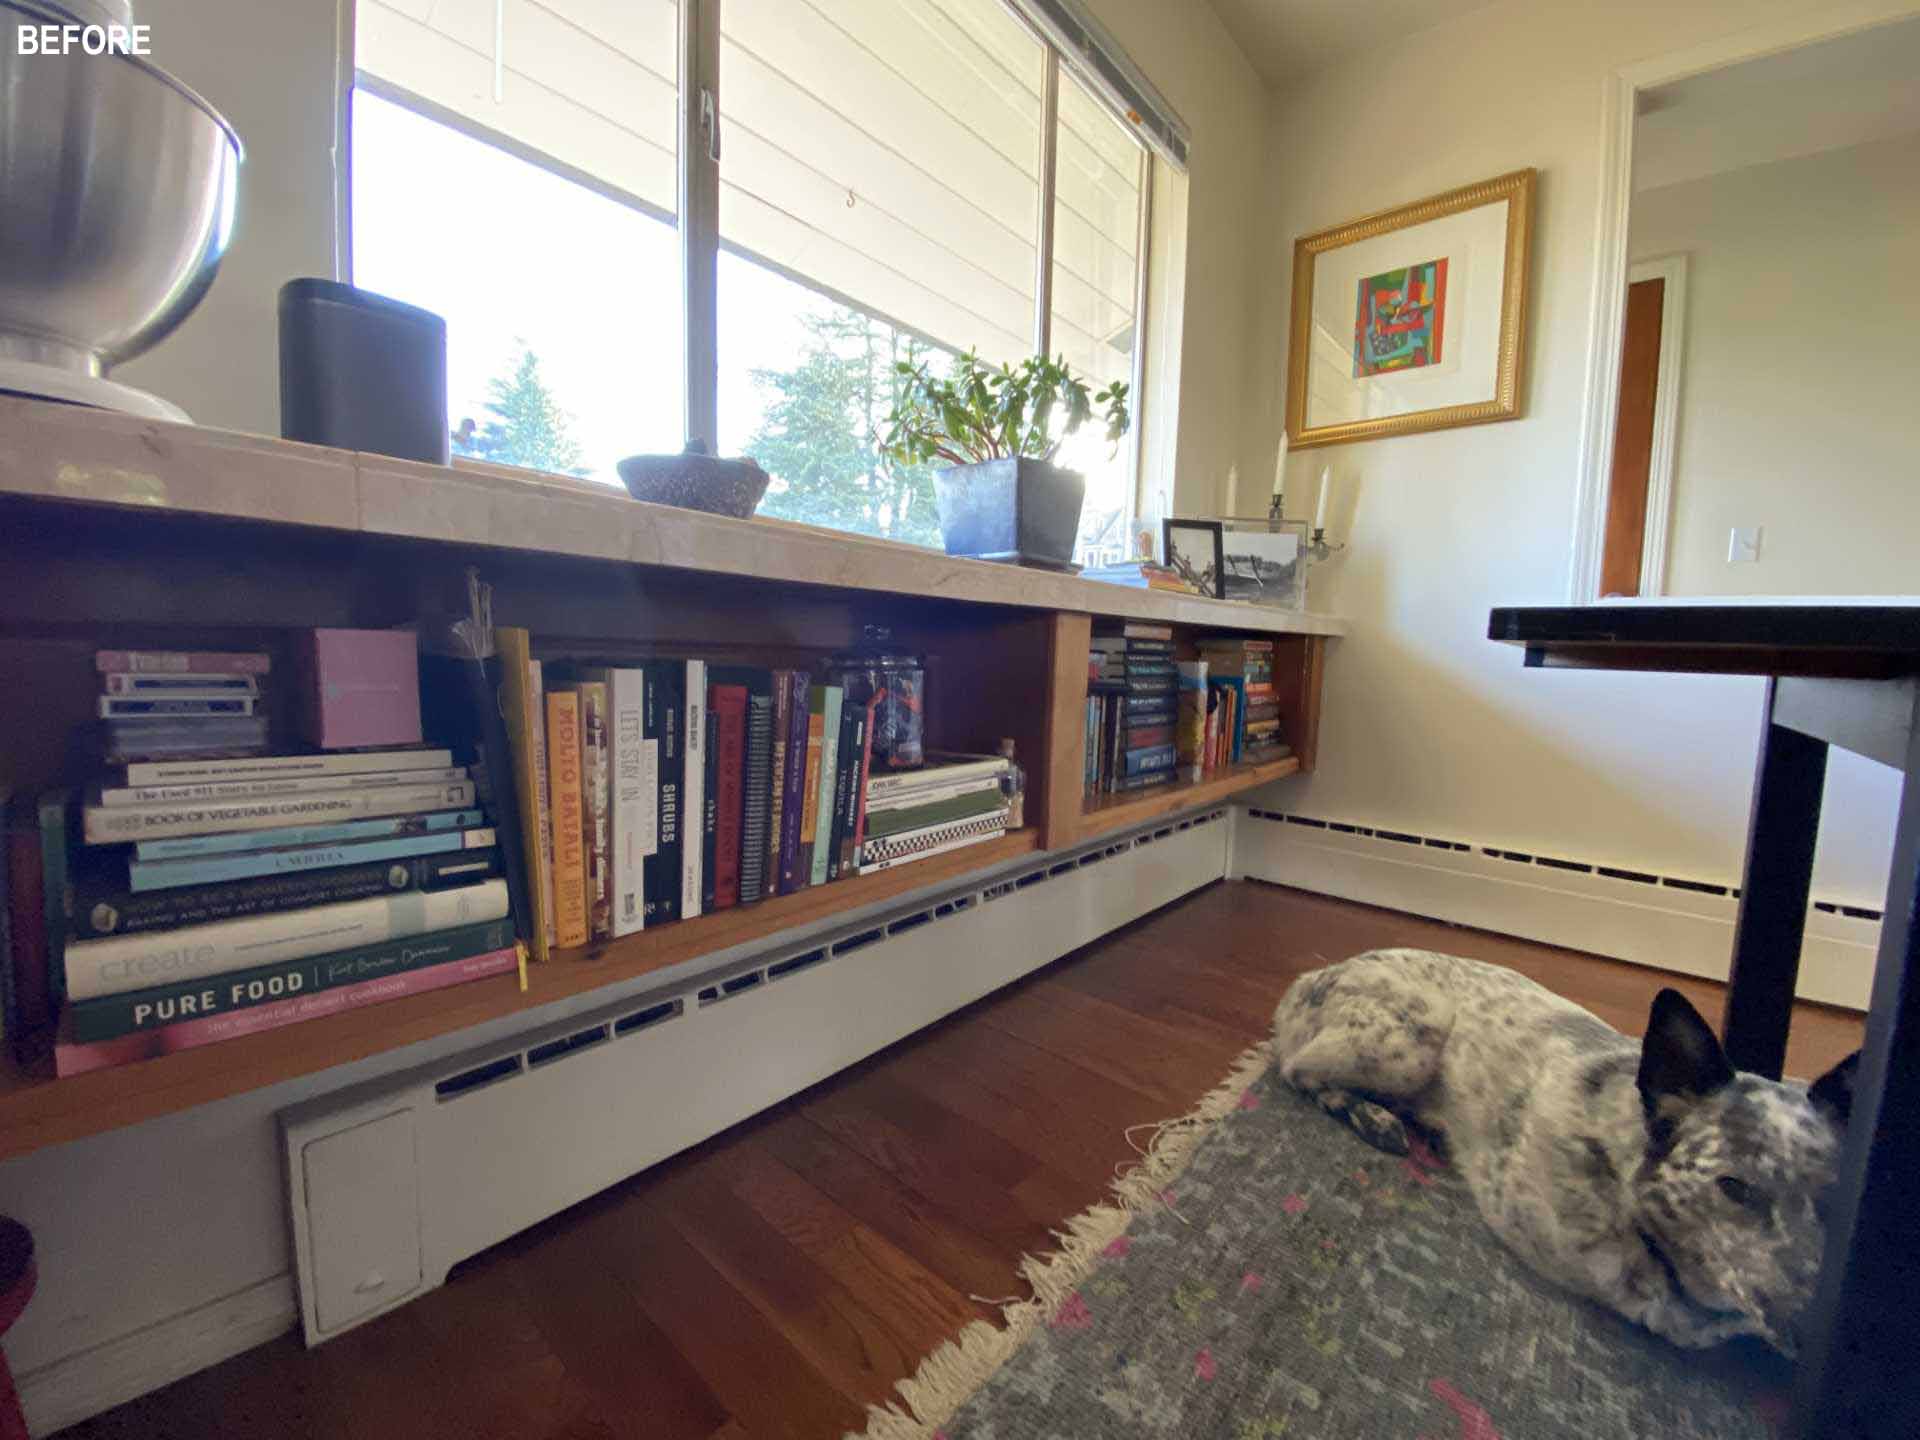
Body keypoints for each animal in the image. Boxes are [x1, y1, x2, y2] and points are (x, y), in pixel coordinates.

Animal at [1274, 952, 1858, 1359]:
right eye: (1735, 1187)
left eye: (1839, 1204)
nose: (1819, 1335)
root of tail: (1308, 978)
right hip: (1416, 1037)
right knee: (1296, 1068)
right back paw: (1374, 1117)